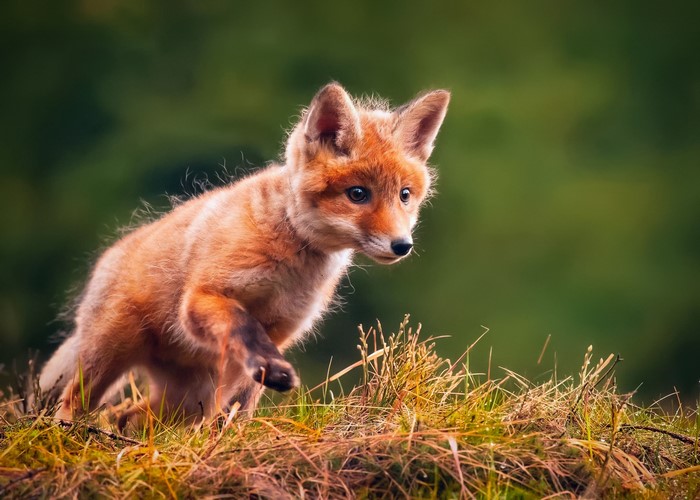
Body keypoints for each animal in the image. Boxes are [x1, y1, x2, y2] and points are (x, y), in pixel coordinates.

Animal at [38, 82, 450, 427]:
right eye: (358, 194)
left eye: (405, 195)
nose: (402, 245)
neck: (291, 265)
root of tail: (108, 259)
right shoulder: (203, 298)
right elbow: (243, 325)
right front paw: (271, 371)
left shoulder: (282, 329)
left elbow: (240, 402)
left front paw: (230, 436)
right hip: (109, 354)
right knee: (74, 403)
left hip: (185, 400)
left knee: (130, 417)